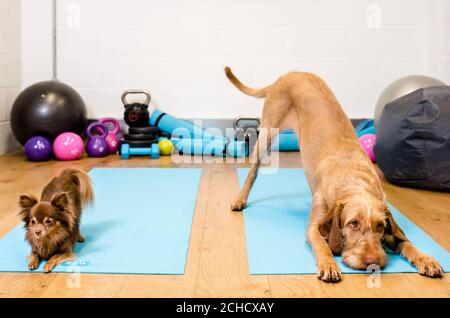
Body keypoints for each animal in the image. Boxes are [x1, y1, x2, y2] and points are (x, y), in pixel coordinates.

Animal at [227, 67, 444, 284]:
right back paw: (240, 199)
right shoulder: (314, 228)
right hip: (266, 134)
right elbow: (323, 246)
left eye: (380, 226)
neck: (355, 181)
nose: (373, 261)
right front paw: (329, 264)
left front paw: (425, 258)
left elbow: (406, 242)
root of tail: (288, 74)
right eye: (353, 223)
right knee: (252, 172)